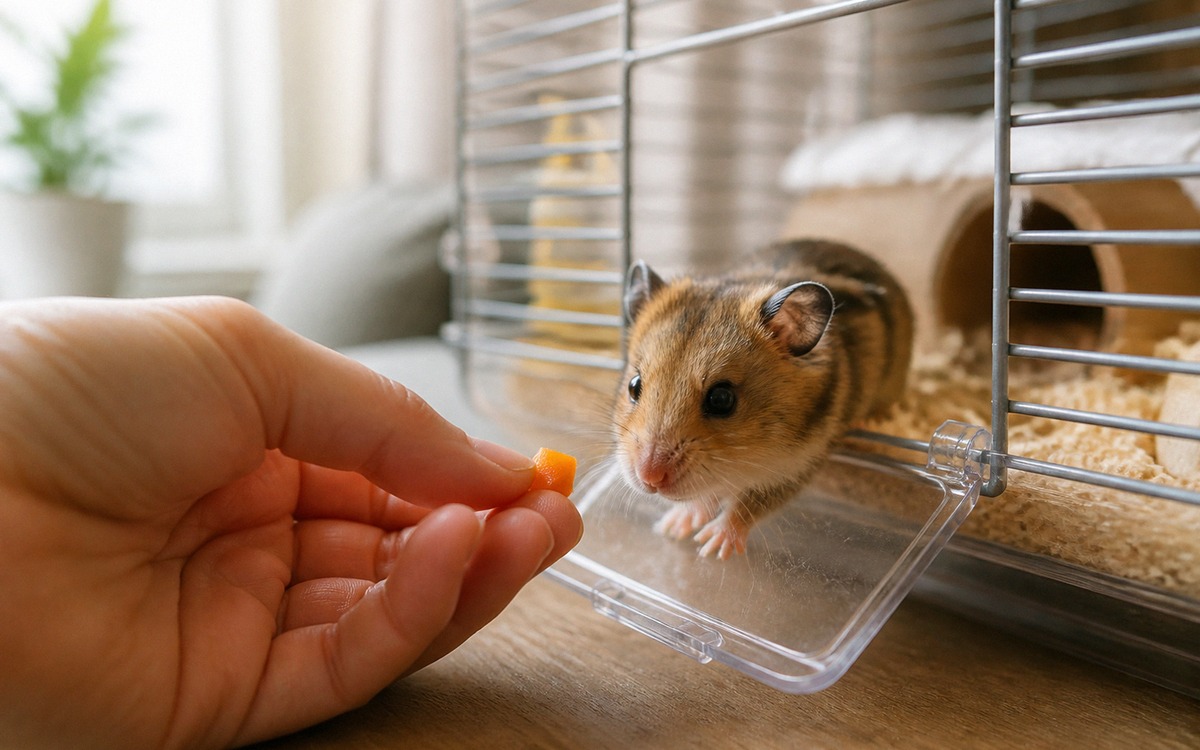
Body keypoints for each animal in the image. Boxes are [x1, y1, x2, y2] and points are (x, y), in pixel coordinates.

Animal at [612, 239, 914, 559]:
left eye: (722, 399)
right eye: (634, 386)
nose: (649, 478)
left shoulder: (797, 466)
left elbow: (748, 504)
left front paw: (712, 546)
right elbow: (705, 496)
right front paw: (672, 527)